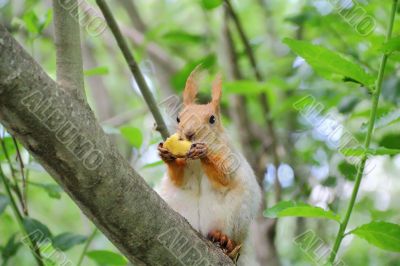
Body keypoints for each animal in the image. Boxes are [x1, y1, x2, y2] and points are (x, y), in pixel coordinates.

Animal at [155, 67, 260, 264]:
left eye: (212, 119)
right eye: (178, 118)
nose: (189, 134)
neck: (196, 164)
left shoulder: (231, 159)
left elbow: (224, 178)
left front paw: (205, 152)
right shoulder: (185, 172)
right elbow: (180, 180)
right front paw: (167, 155)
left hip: (236, 220)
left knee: (232, 241)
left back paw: (224, 240)